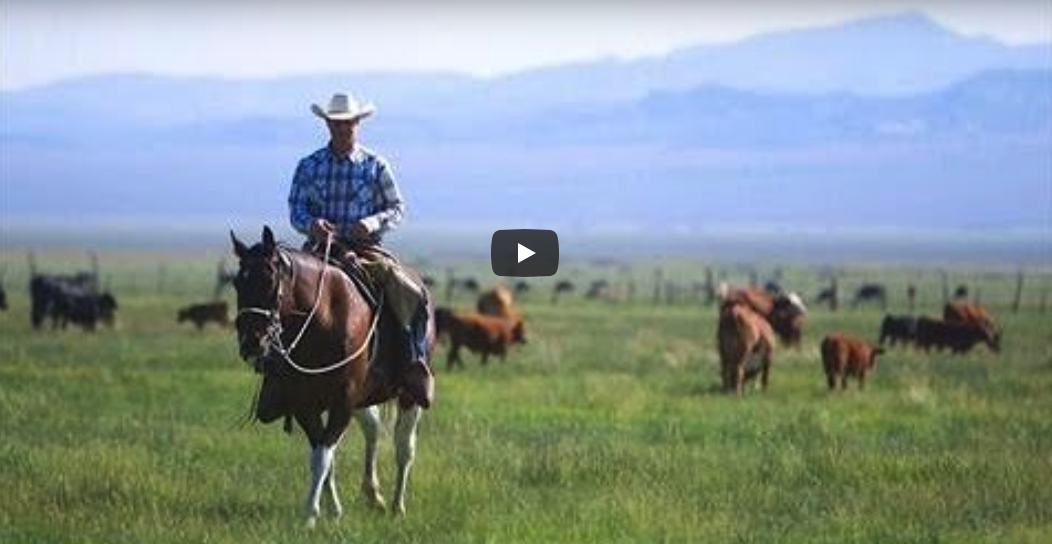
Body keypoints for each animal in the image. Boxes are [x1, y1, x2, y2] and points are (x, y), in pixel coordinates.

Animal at [229, 226, 427, 526]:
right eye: (237, 284)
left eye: (270, 279)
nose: (251, 343)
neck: (325, 319)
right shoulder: (305, 404)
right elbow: (322, 455)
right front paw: (332, 511)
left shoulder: (343, 401)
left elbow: (323, 456)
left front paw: (310, 515)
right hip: (362, 400)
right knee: (372, 429)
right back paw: (373, 494)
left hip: (408, 397)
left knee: (404, 447)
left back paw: (397, 506)